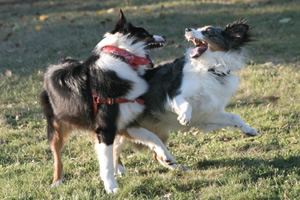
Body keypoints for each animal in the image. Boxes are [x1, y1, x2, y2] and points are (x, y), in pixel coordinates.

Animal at [40, 9, 176, 194]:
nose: (165, 36)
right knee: (57, 156)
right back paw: (57, 181)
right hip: (55, 126)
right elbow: (106, 164)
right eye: (145, 33)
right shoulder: (105, 128)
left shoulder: (125, 121)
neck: (121, 58)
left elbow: (152, 136)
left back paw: (120, 168)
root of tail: (55, 64)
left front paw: (167, 156)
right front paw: (111, 187)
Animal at [113, 19, 258, 173]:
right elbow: (186, 104)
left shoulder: (206, 114)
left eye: (208, 31)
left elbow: (234, 116)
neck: (210, 69)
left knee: (153, 155)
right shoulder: (174, 95)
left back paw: (177, 167)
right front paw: (184, 117)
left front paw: (249, 130)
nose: (188, 29)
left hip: (156, 131)